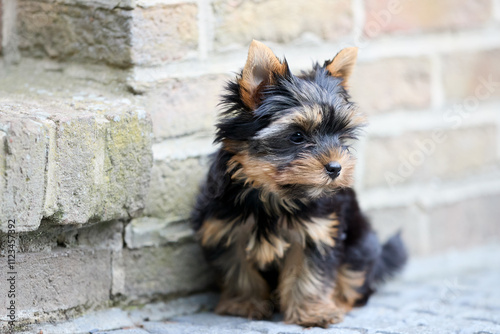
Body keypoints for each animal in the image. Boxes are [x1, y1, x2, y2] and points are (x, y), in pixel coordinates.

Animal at [191, 40, 406, 328]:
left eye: (340, 135)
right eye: (297, 136)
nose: (336, 168)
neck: (271, 195)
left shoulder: (317, 231)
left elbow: (309, 274)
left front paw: (312, 312)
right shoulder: (226, 229)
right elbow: (238, 269)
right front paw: (244, 304)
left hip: (362, 244)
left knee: (355, 277)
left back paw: (338, 302)